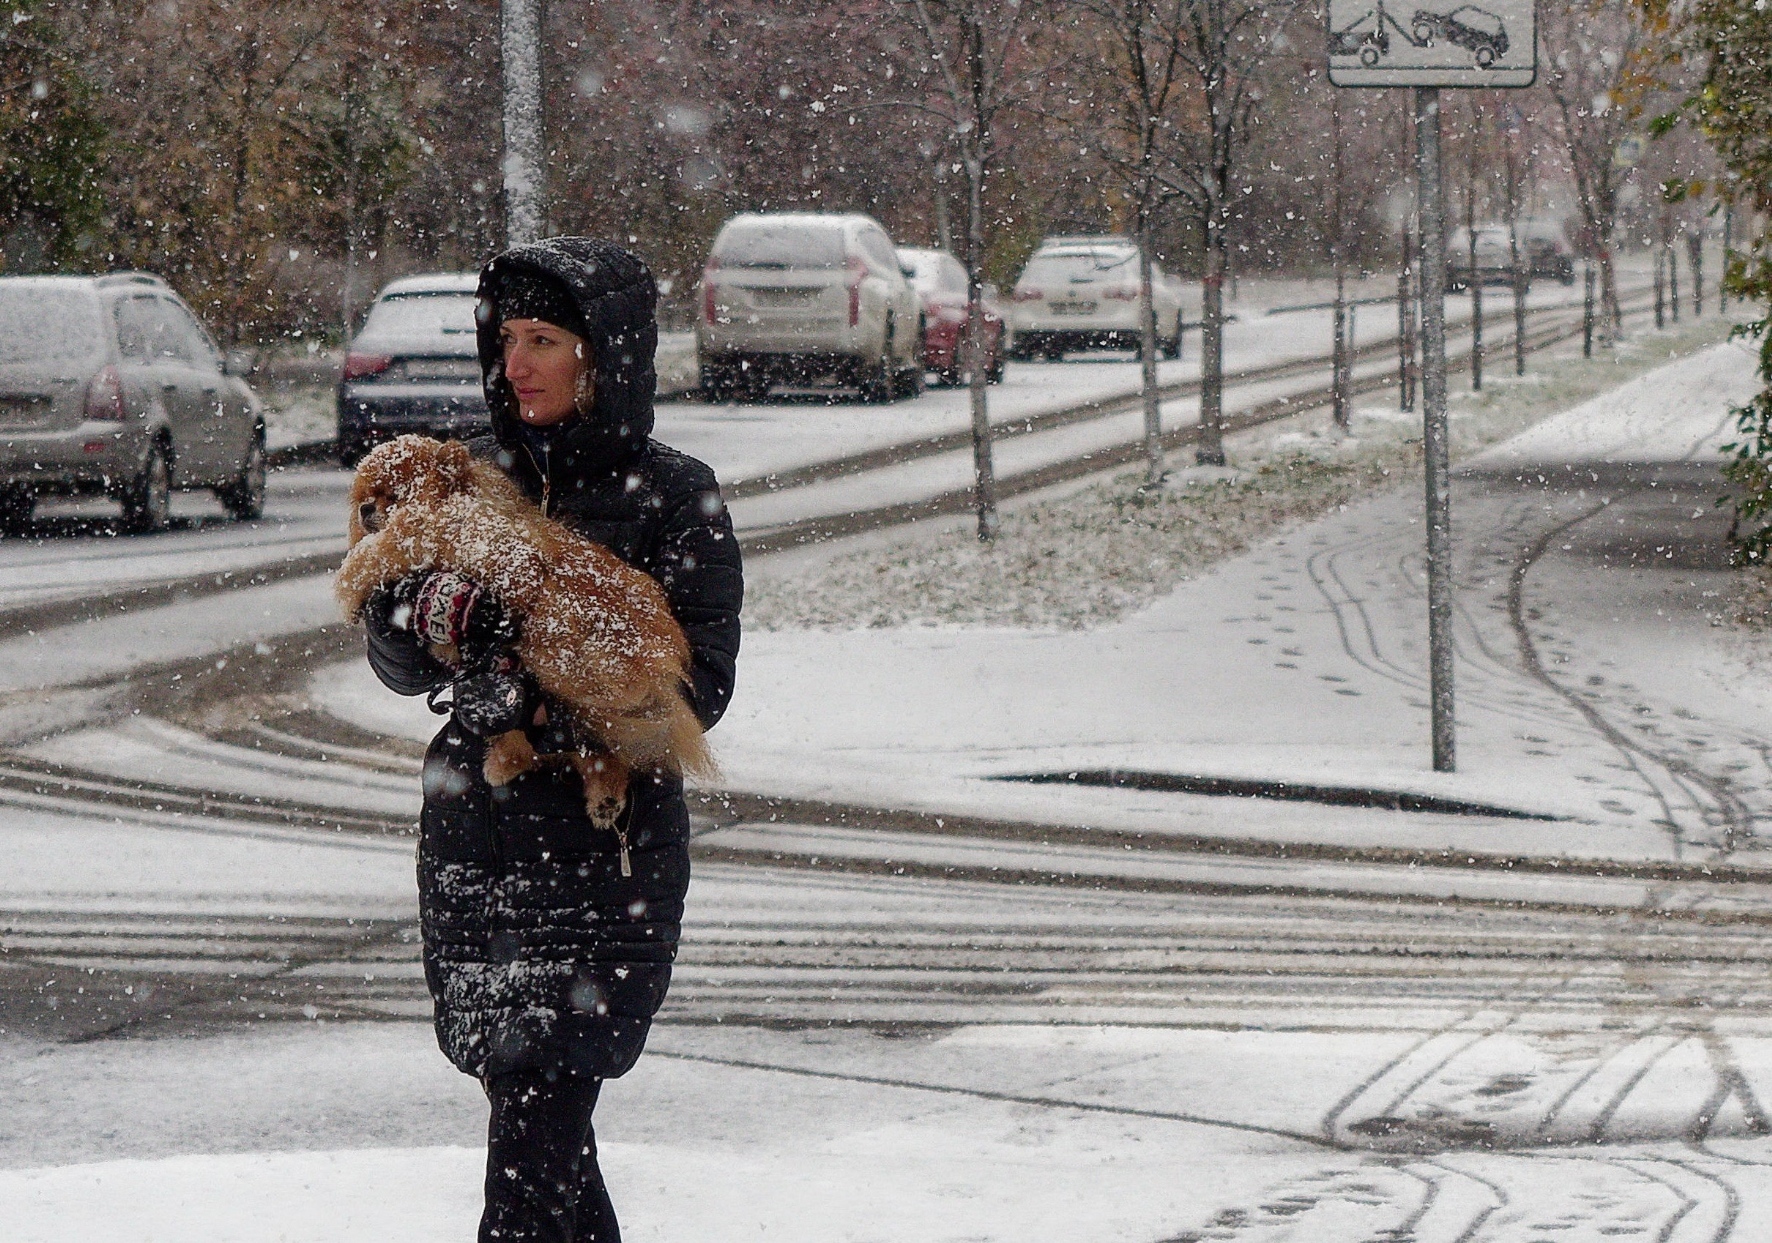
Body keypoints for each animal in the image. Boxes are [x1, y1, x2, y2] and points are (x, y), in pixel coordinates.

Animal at [334, 434, 708, 833]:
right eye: (366, 495)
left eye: (393, 494)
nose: (366, 509)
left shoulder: (484, 552)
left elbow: (378, 550)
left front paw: (351, 585)